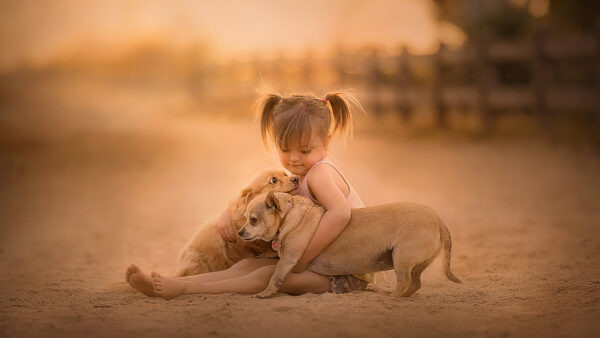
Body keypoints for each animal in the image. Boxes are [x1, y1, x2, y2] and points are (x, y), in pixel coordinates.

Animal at [237, 191, 462, 298]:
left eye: (253, 220)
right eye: (245, 218)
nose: (240, 232)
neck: (289, 216)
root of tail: (438, 220)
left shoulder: (288, 260)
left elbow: (274, 277)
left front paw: (265, 292)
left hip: (402, 257)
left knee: (405, 280)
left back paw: (391, 298)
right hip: (415, 263)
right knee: (415, 283)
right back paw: (401, 297)